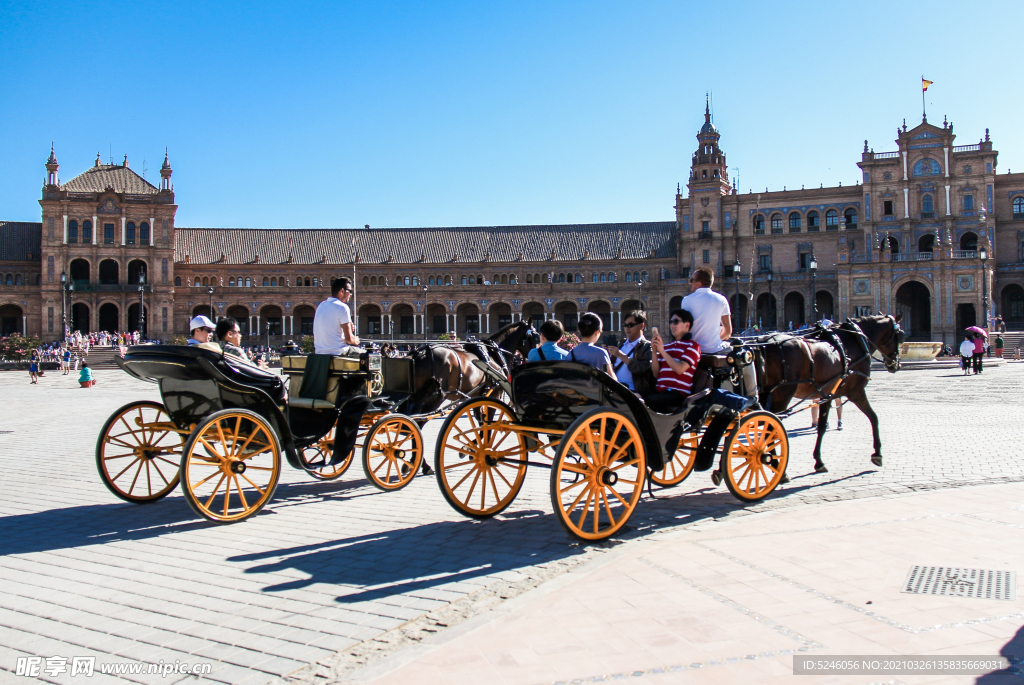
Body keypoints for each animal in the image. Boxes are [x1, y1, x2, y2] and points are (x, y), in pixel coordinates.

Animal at [753, 313, 905, 471]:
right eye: (901, 335)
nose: (896, 365)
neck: (855, 340)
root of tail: (764, 342)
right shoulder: (857, 392)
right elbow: (874, 417)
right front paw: (877, 454)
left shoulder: (826, 395)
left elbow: (821, 426)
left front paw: (819, 461)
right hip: (783, 394)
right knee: (771, 426)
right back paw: (777, 466)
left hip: (766, 393)